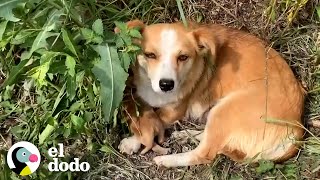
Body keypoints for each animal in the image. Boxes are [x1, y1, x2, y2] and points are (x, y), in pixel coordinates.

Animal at [117, 20, 304, 167]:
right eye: (150, 55)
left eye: (183, 57)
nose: (166, 85)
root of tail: (296, 130)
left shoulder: (173, 111)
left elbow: (157, 118)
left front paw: (131, 142)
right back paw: (185, 135)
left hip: (225, 110)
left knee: (204, 154)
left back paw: (166, 160)